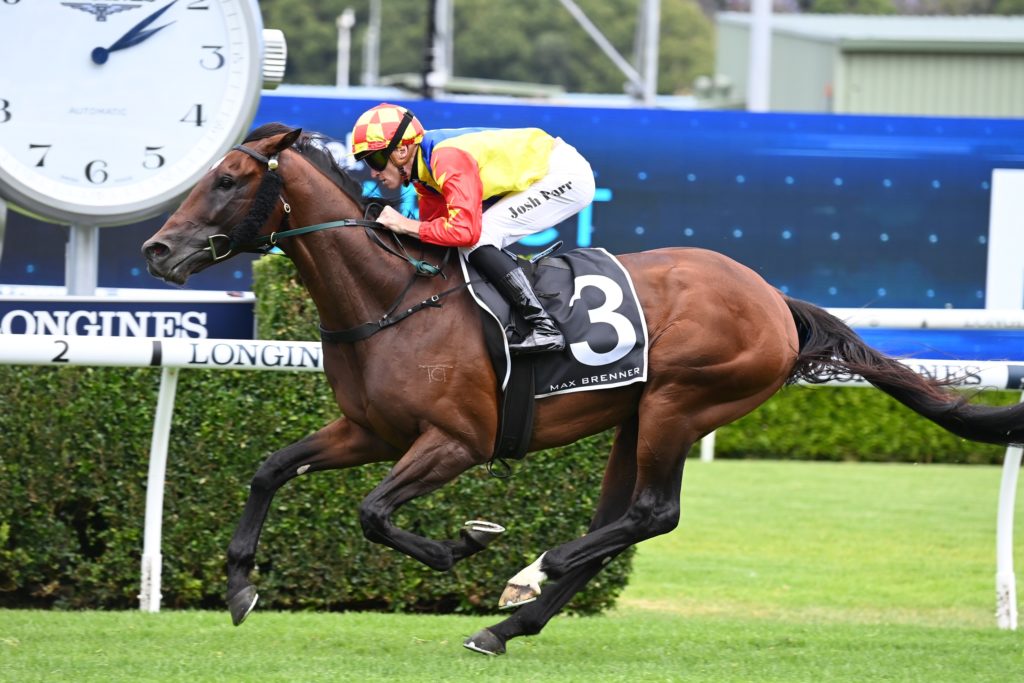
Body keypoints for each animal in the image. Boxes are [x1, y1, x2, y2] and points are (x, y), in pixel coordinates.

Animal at [142, 124, 1024, 656]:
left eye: (228, 178)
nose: (155, 250)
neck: (393, 300)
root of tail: (775, 299)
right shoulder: (370, 430)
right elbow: (270, 467)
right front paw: (240, 584)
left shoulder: (455, 441)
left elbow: (374, 512)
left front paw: (465, 543)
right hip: (638, 414)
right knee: (620, 522)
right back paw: (512, 619)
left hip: (681, 402)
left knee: (651, 513)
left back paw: (537, 569)